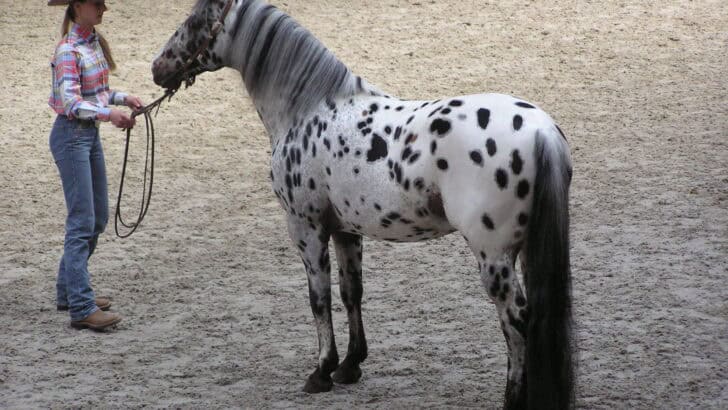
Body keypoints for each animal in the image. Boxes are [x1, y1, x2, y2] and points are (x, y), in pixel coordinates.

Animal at [152, 1, 575, 408]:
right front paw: (350, 365)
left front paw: (322, 371)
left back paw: (513, 399)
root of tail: (541, 131)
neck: (308, 109)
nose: (157, 68)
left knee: (516, 321)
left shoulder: (306, 228)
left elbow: (319, 298)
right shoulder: (345, 230)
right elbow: (350, 291)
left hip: (494, 258)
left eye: (195, 21)